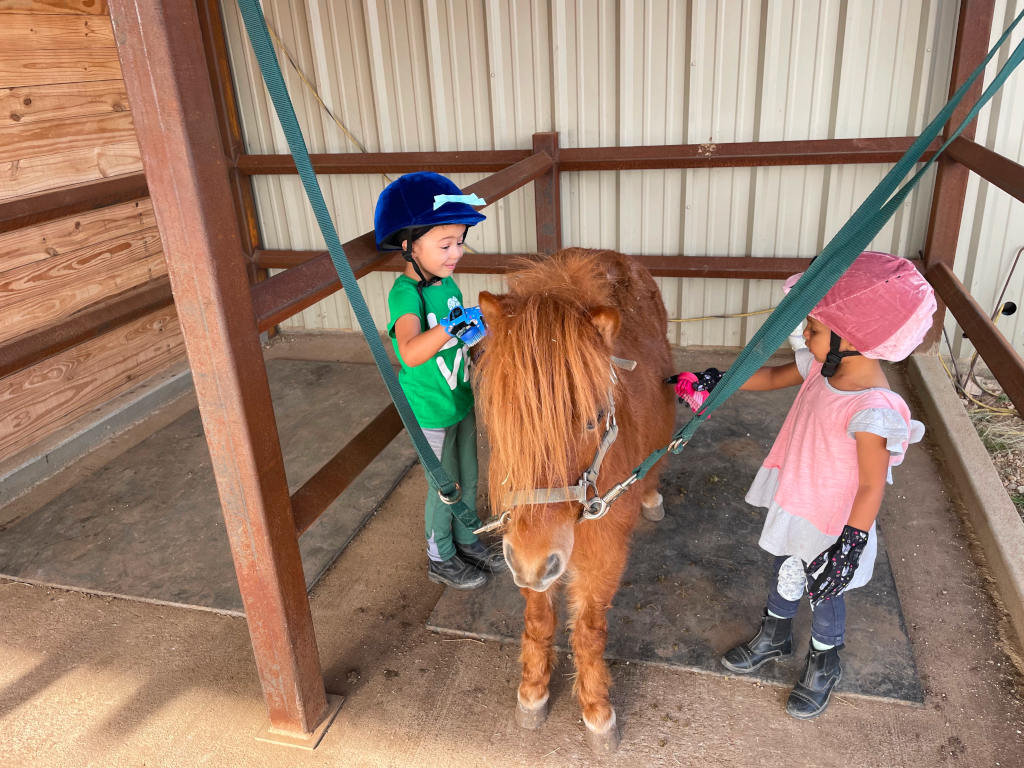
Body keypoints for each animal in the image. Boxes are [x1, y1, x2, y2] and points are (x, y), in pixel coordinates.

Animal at [475, 249, 675, 753]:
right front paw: (533, 692)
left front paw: (597, 711)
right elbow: (539, 620)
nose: (534, 558)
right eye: (499, 417)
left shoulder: (602, 554)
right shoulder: (524, 551)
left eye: (593, 419)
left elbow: (587, 632)